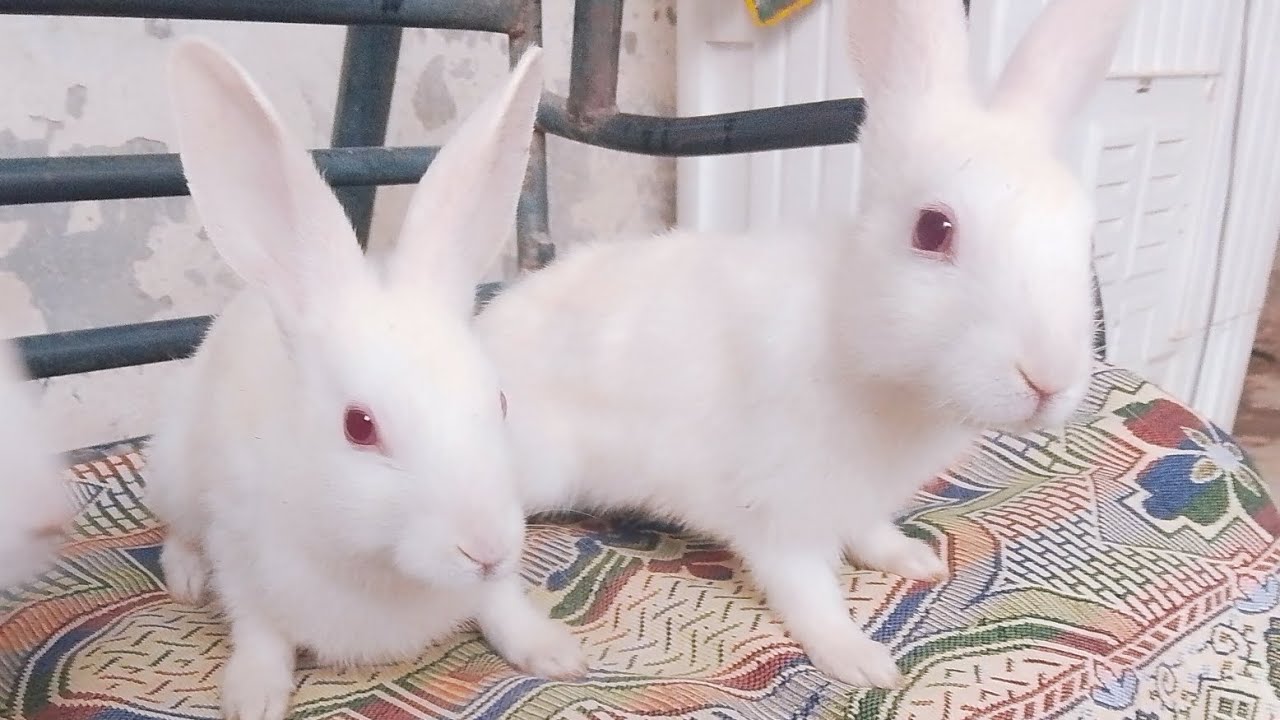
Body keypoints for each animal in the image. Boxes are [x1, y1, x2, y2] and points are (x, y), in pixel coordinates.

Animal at [145, 38, 584, 720]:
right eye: (359, 426)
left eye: (501, 401)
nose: (485, 549)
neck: (378, 563)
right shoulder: (243, 558)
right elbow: (259, 631)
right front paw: (252, 696)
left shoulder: (492, 586)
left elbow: (502, 605)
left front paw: (555, 653)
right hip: (174, 474)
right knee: (178, 531)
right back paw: (187, 580)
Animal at [475, 0, 1135, 689]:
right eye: (933, 229)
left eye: (1083, 234)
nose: (1049, 379)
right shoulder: (780, 510)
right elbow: (808, 591)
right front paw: (860, 660)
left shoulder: (857, 500)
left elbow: (869, 533)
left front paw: (913, 560)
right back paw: (544, 649)